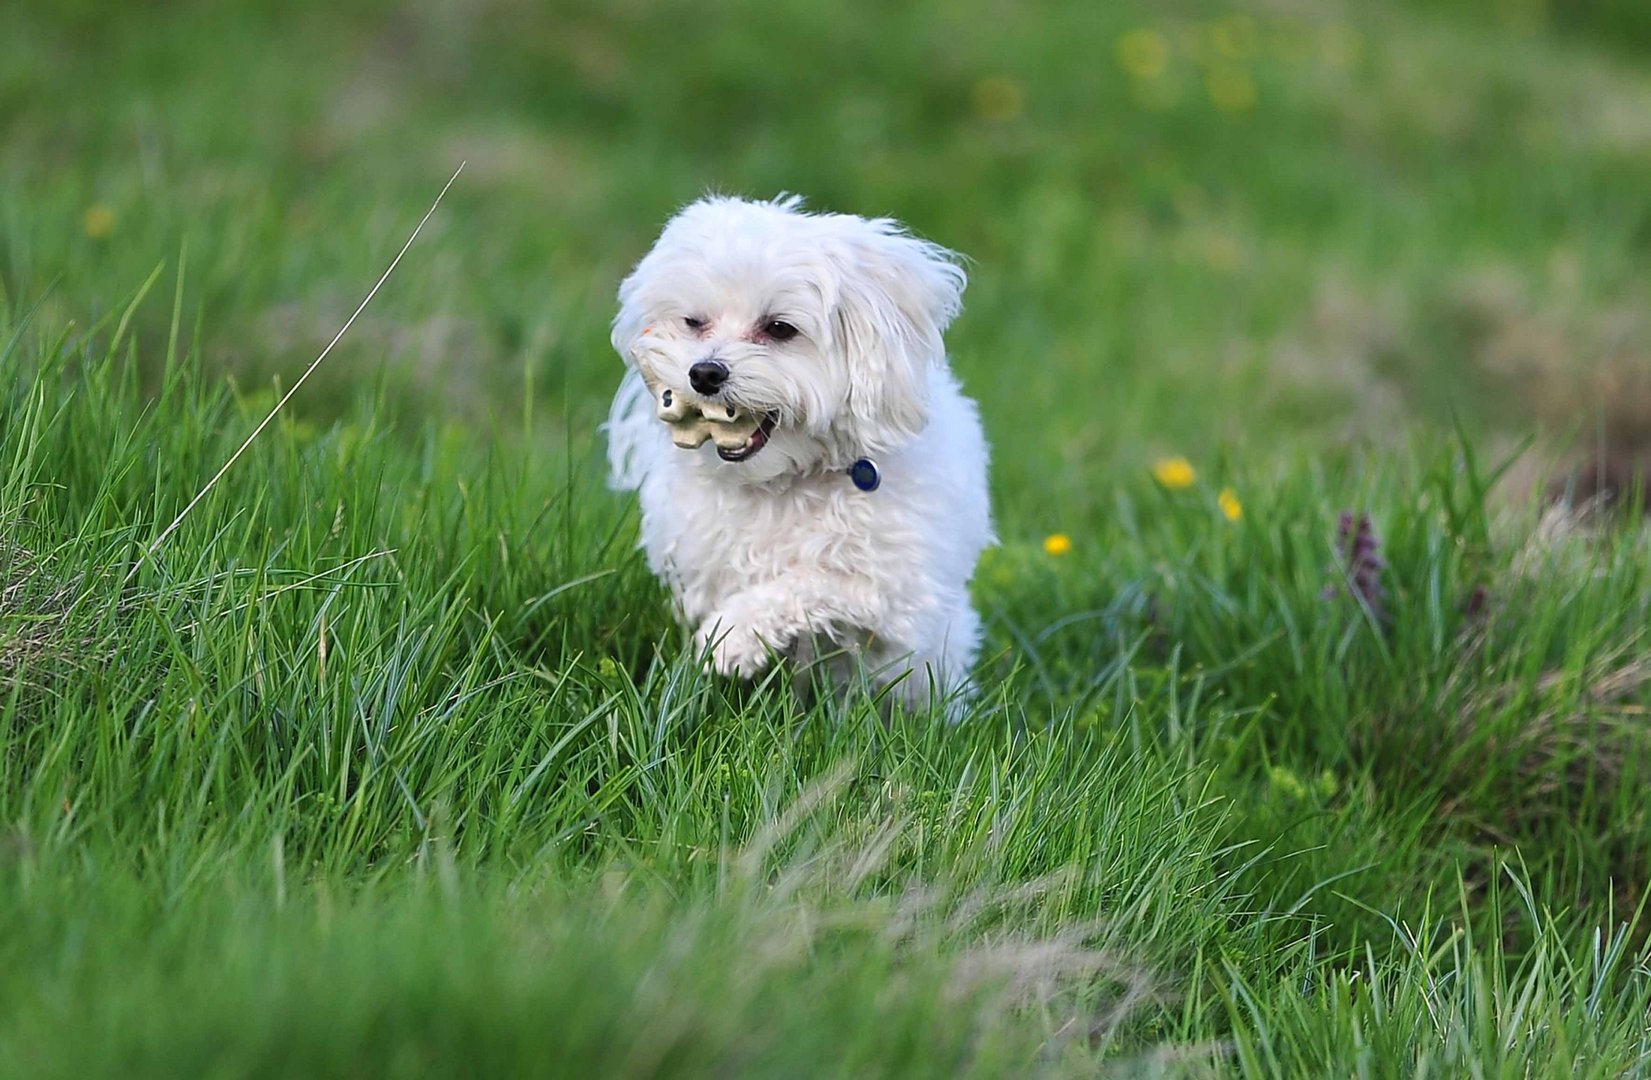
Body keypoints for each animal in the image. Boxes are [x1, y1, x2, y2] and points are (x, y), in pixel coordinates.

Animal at [607, 198, 990, 716]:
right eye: (694, 322)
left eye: (779, 328)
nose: (704, 372)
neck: (782, 483)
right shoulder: (699, 575)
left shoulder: (896, 595)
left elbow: (810, 583)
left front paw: (731, 638)